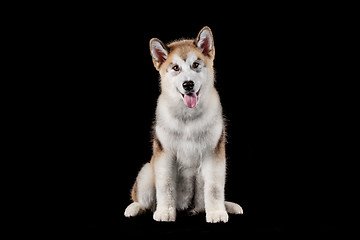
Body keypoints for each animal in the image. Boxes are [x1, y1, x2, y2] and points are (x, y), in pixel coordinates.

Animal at [124, 26, 245, 223]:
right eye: (175, 68)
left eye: (195, 65)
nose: (188, 84)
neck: (188, 118)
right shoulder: (165, 154)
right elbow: (165, 185)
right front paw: (165, 211)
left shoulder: (213, 153)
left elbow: (214, 188)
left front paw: (217, 212)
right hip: (147, 172)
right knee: (144, 200)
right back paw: (136, 207)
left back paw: (222, 207)